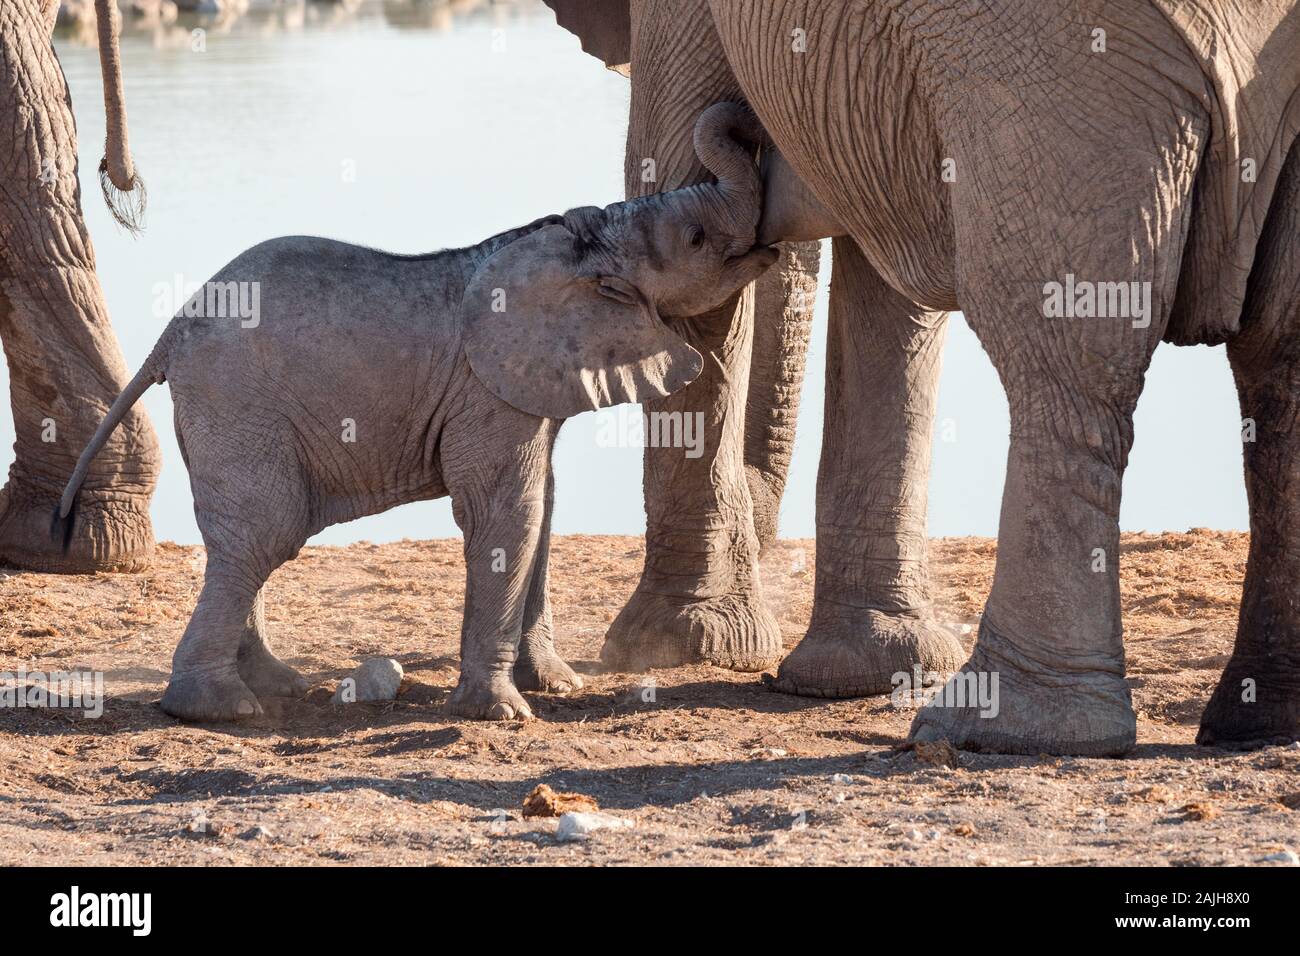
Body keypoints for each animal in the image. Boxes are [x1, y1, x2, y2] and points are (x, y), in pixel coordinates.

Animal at [61, 100, 774, 723]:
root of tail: (172, 330)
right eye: (696, 238)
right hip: (236, 402)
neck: (579, 242)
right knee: (265, 530)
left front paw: (555, 686)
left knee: (242, 540)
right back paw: (219, 708)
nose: (749, 117)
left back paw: (277, 686)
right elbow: (506, 515)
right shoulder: (486, 392)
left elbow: (541, 513)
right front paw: (503, 714)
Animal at [546, 0, 1300, 754]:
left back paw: (1001, 729)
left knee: (1063, 359)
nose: (752, 131)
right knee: (1276, 359)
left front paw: (678, 645)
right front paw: (856, 670)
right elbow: (881, 273)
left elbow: (670, 181)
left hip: (1057, 72)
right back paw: (1256, 723)